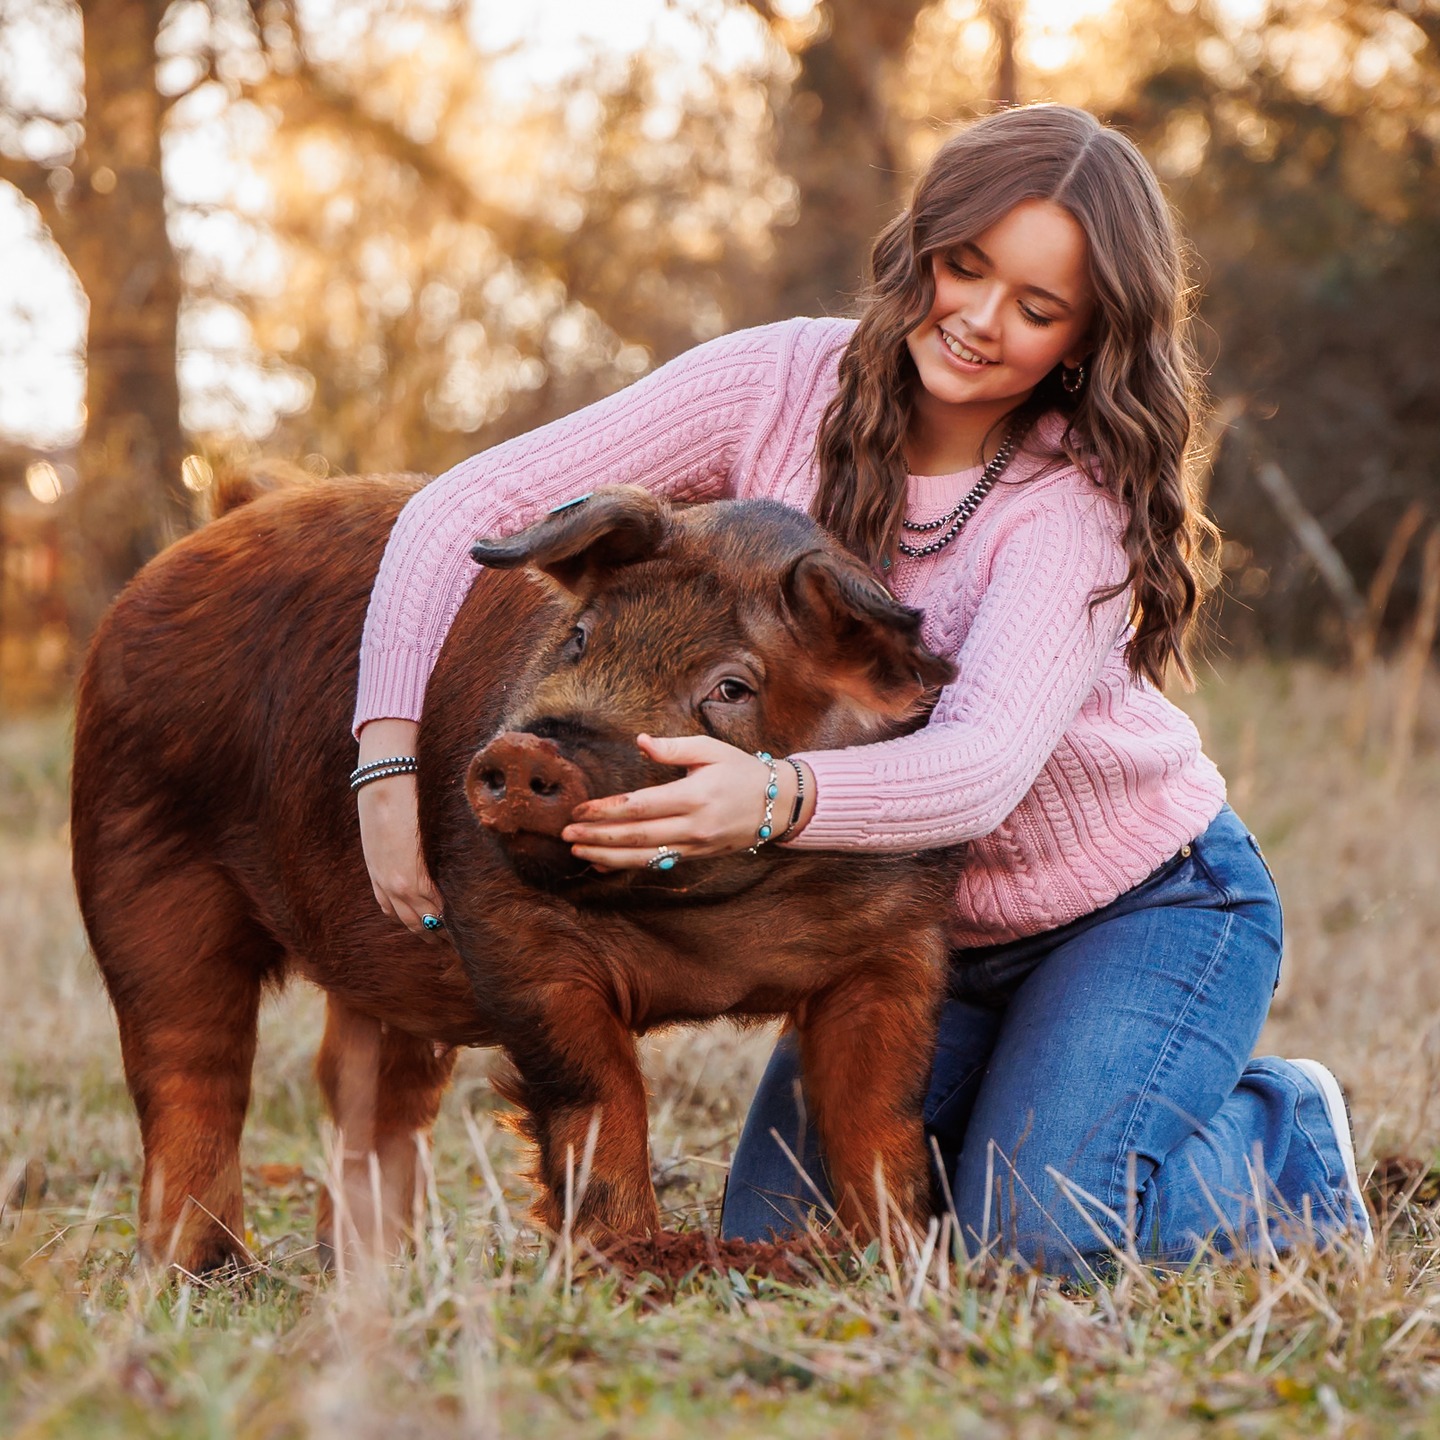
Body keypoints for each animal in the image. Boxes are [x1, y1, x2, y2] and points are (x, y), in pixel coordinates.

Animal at [70, 478, 962, 1275]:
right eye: (579, 638)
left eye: (732, 687)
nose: (532, 748)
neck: (714, 935)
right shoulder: (508, 934)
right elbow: (600, 1094)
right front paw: (628, 1264)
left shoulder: (900, 947)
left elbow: (879, 1112)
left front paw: (902, 1259)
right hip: (138, 872)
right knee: (192, 1073)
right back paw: (207, 1271)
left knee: (370, 1097)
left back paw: (369, 1271)